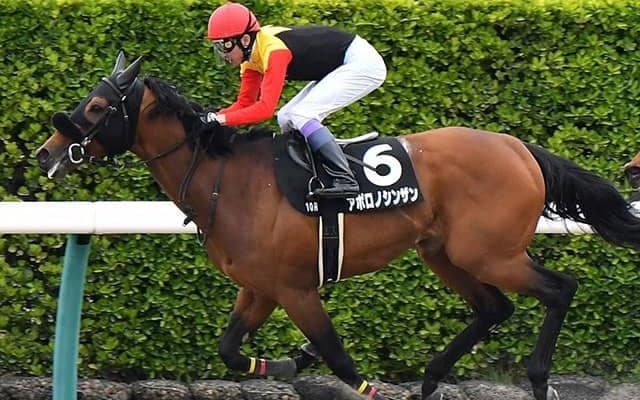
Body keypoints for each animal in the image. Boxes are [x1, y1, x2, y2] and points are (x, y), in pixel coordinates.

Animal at [36, 52, 640, 400]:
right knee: (494, 308)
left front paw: (319, 367)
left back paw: (538, 378)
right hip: (443, 251)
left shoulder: (295, 289)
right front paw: (290, 362)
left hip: (490, 252)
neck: (228, 179)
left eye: (96, 107)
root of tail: (521, 149)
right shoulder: (258, 287)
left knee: (560, 289)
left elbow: (342, 360)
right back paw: (429, 380)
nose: (47, 153)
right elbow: (231, 349)